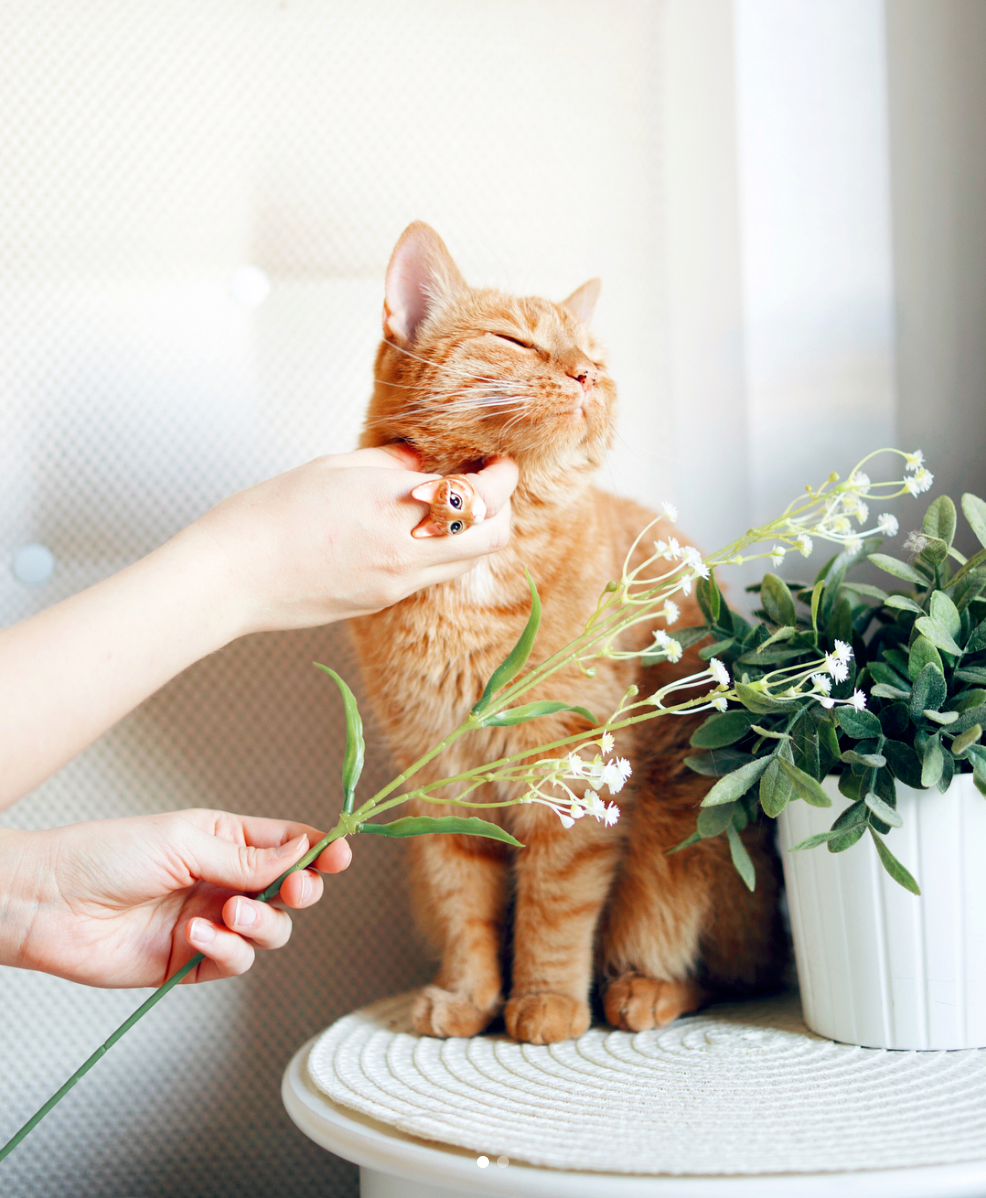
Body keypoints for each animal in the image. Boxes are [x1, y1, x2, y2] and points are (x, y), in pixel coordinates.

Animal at [349, 226, 785, 1049]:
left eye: (595, 358)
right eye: (515, 340)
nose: (584, 374)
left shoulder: (569, 776)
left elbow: (556, 906)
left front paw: (545, 1002)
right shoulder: (439, 780)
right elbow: (464, 903)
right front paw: (468, 998)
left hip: (675, 850)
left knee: (728, 974)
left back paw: (642, 992)